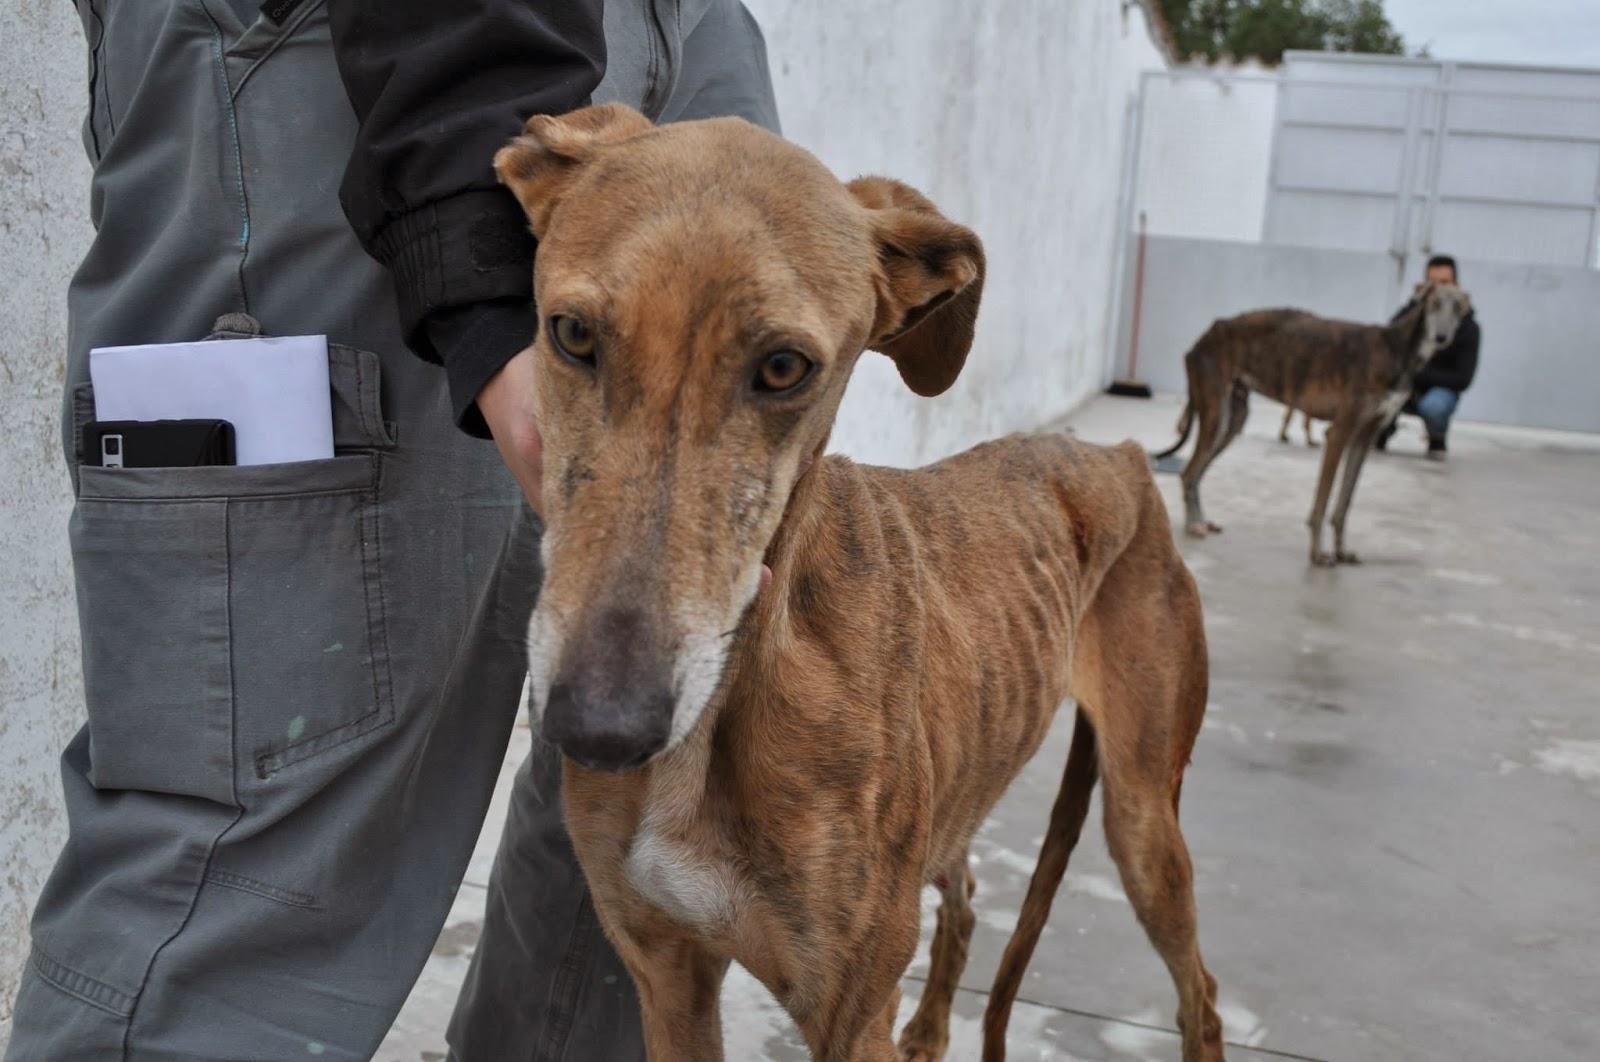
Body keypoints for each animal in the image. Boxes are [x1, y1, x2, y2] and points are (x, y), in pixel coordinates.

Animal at [1152, 279, 1472, 562]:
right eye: (1434, 303)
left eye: (1457, 307)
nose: (1442, 337)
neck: (1397, 349)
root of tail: (1204, 336)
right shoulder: (1339, 431)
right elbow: (1323, 500)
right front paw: (1318, 554)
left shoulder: (1364, 437)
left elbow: (1344, 502)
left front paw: (1342, 551)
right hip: (1216, 413)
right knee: (1188, 472)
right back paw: (1193, 524)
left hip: (1234, 419)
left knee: (1195, 473)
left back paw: (1201, 520)